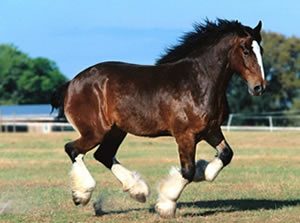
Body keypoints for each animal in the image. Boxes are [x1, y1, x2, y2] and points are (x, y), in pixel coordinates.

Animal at [50, 19, 266, 218]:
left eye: (261, 49)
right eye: (246, 50)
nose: (259, 87)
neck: (198, 82)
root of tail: (71, 84)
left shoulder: (211, 130)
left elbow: (226, 155)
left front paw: (203, 171)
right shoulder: (185, 135)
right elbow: (187, 171)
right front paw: (166, 205)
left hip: (116, 131)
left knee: (102, 155)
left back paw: (138, 191)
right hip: (95, 132)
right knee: (73, 149)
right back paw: (81, 195)